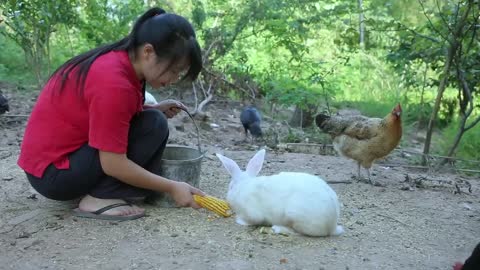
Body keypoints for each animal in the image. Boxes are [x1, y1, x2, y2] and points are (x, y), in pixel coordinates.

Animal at [216, 149, 344, 237]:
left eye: (230, 187)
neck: (243, 185)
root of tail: (332, 227)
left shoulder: (252, 213)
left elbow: (251, 220)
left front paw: (239, 220)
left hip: (295, 217)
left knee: (298, 232)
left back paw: (278, 228)